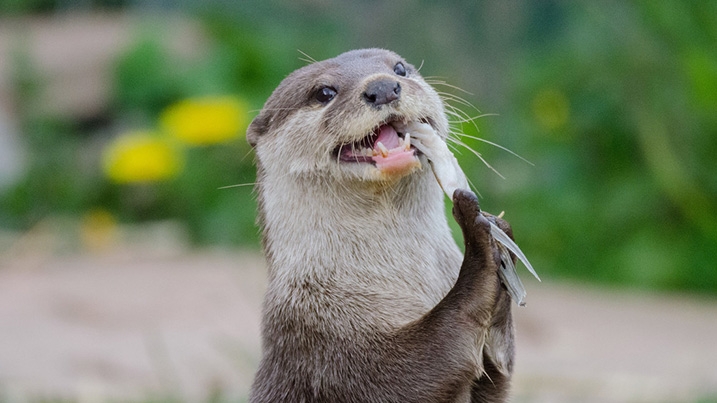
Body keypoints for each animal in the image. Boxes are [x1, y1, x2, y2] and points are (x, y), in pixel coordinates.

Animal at [246, 49, 516, 403]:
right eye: (324, 92)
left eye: (399, 69)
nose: (384, 87)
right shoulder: (319, 343)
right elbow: (419, 363)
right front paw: (481, 248)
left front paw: (502, 240)